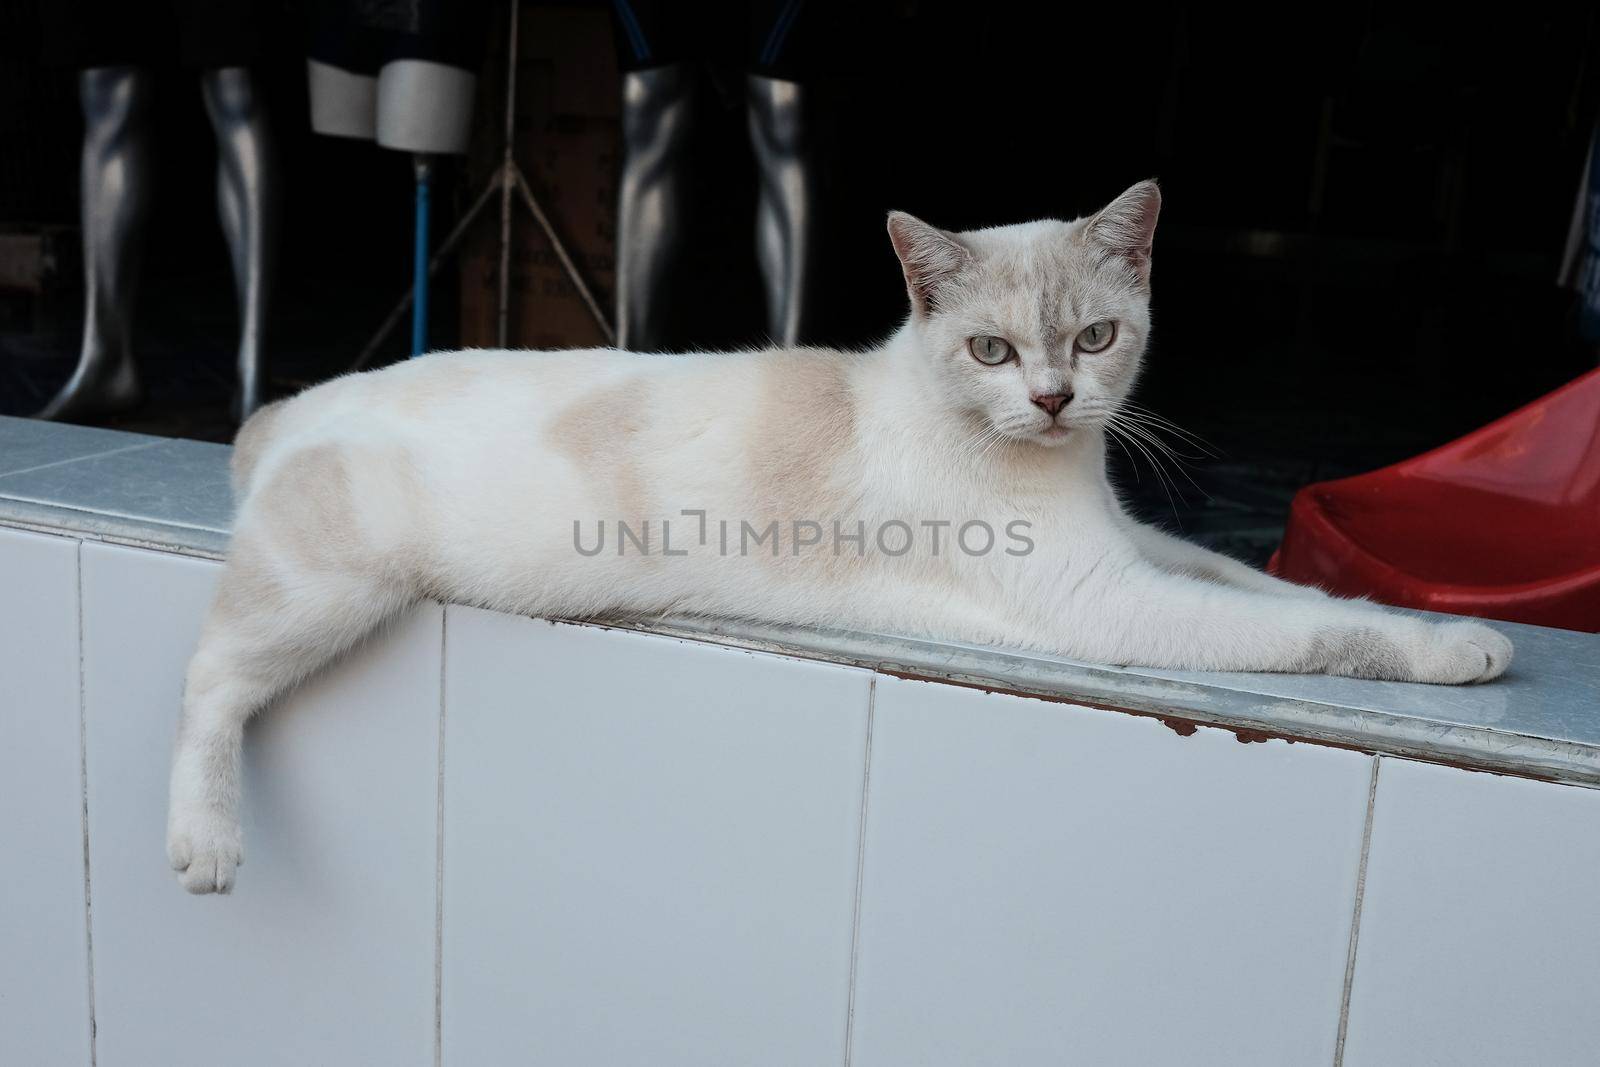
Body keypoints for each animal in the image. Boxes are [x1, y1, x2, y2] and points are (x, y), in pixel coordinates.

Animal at [165, 183, 1510, 895]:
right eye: (990, 350)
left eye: (1093, 338)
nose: (1054, 402)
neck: (1047, 465)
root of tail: (298, 401)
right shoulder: (1112, 601)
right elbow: (1314, 631)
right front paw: (1464, 649)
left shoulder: (1144, 551)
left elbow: (1269, 581)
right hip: (323, 592)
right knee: (209, 683)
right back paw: (207, 839)